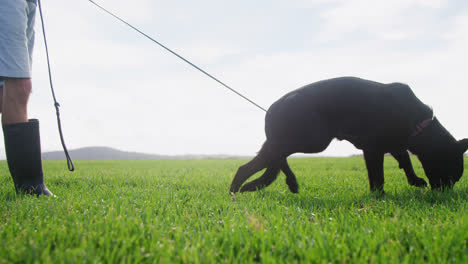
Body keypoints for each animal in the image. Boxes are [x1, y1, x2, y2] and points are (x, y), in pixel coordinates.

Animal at [231, 76, 468, 194]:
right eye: (449, 173)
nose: (443, 194)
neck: (418, 122)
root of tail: (272, 109)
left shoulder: (394, 144)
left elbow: (406, 162)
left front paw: (415, 181)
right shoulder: (373, 148)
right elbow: (378, 176)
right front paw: (379, 196)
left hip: (291, 141)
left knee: (251, 165)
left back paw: (237, 190)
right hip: (314, 139)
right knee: (279, 156)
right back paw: (290, 182)